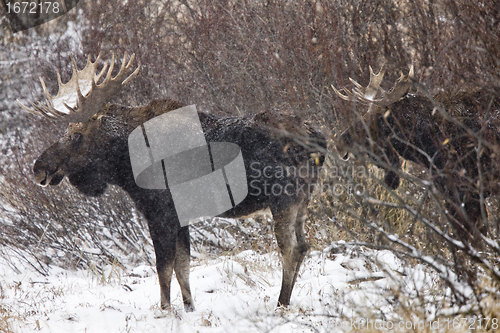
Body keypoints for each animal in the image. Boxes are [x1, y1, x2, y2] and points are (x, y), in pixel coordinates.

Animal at [18, 53, 324, 310]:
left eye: (75, 135)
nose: (38, 168)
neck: (124, 165)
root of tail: (317, 139)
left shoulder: (160, 211)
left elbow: (163, 267)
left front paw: (165, 310)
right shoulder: (179, 216)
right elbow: (183, 266)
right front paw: (189, 308)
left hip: (283, 196)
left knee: (290, 249)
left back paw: (281, 303)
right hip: (302, 200)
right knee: (304, 245)